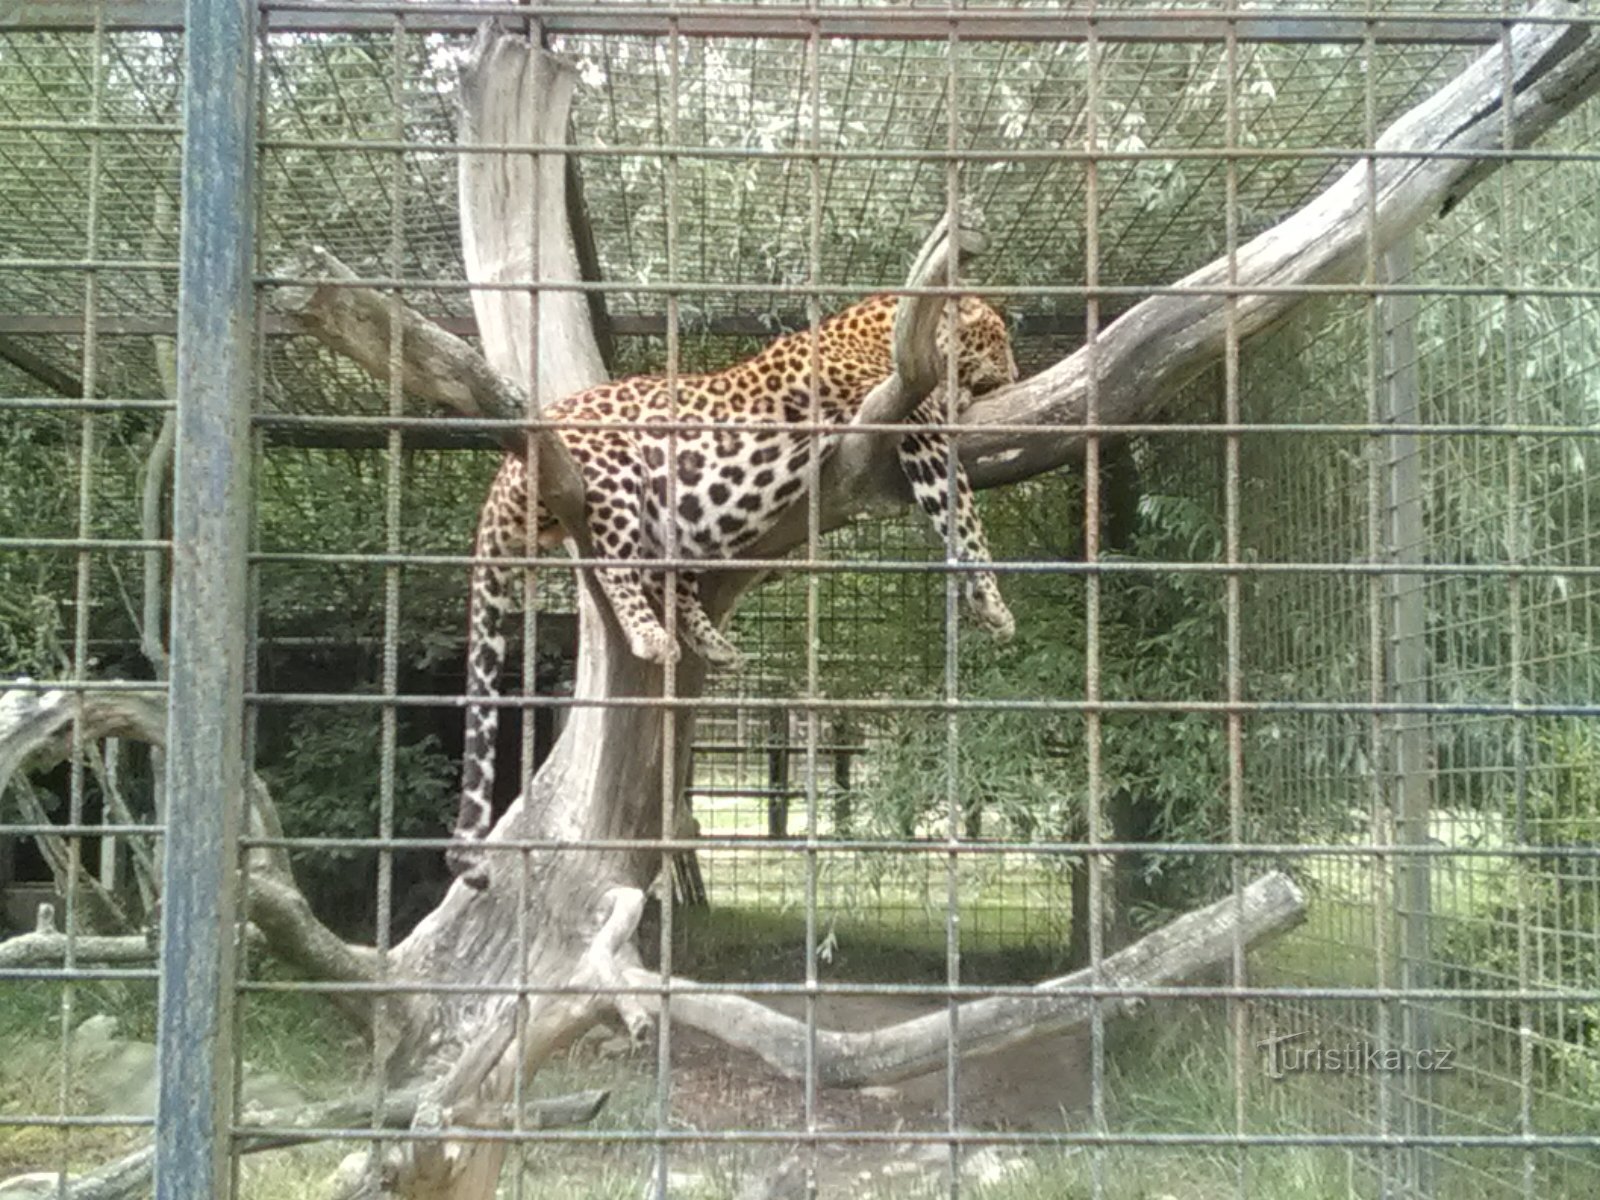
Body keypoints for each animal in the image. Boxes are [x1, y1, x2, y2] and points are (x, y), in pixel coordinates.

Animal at [448, 296, 1024, 889]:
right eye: (999, 338)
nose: (1014, 374)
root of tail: (506, 469)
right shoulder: (911, 420)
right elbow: (960, 510)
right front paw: (992, 600)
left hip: (669, 521)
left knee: (667, 578)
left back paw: (711, 642)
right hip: (614, 470)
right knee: (616, 563)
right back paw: (649, 634)